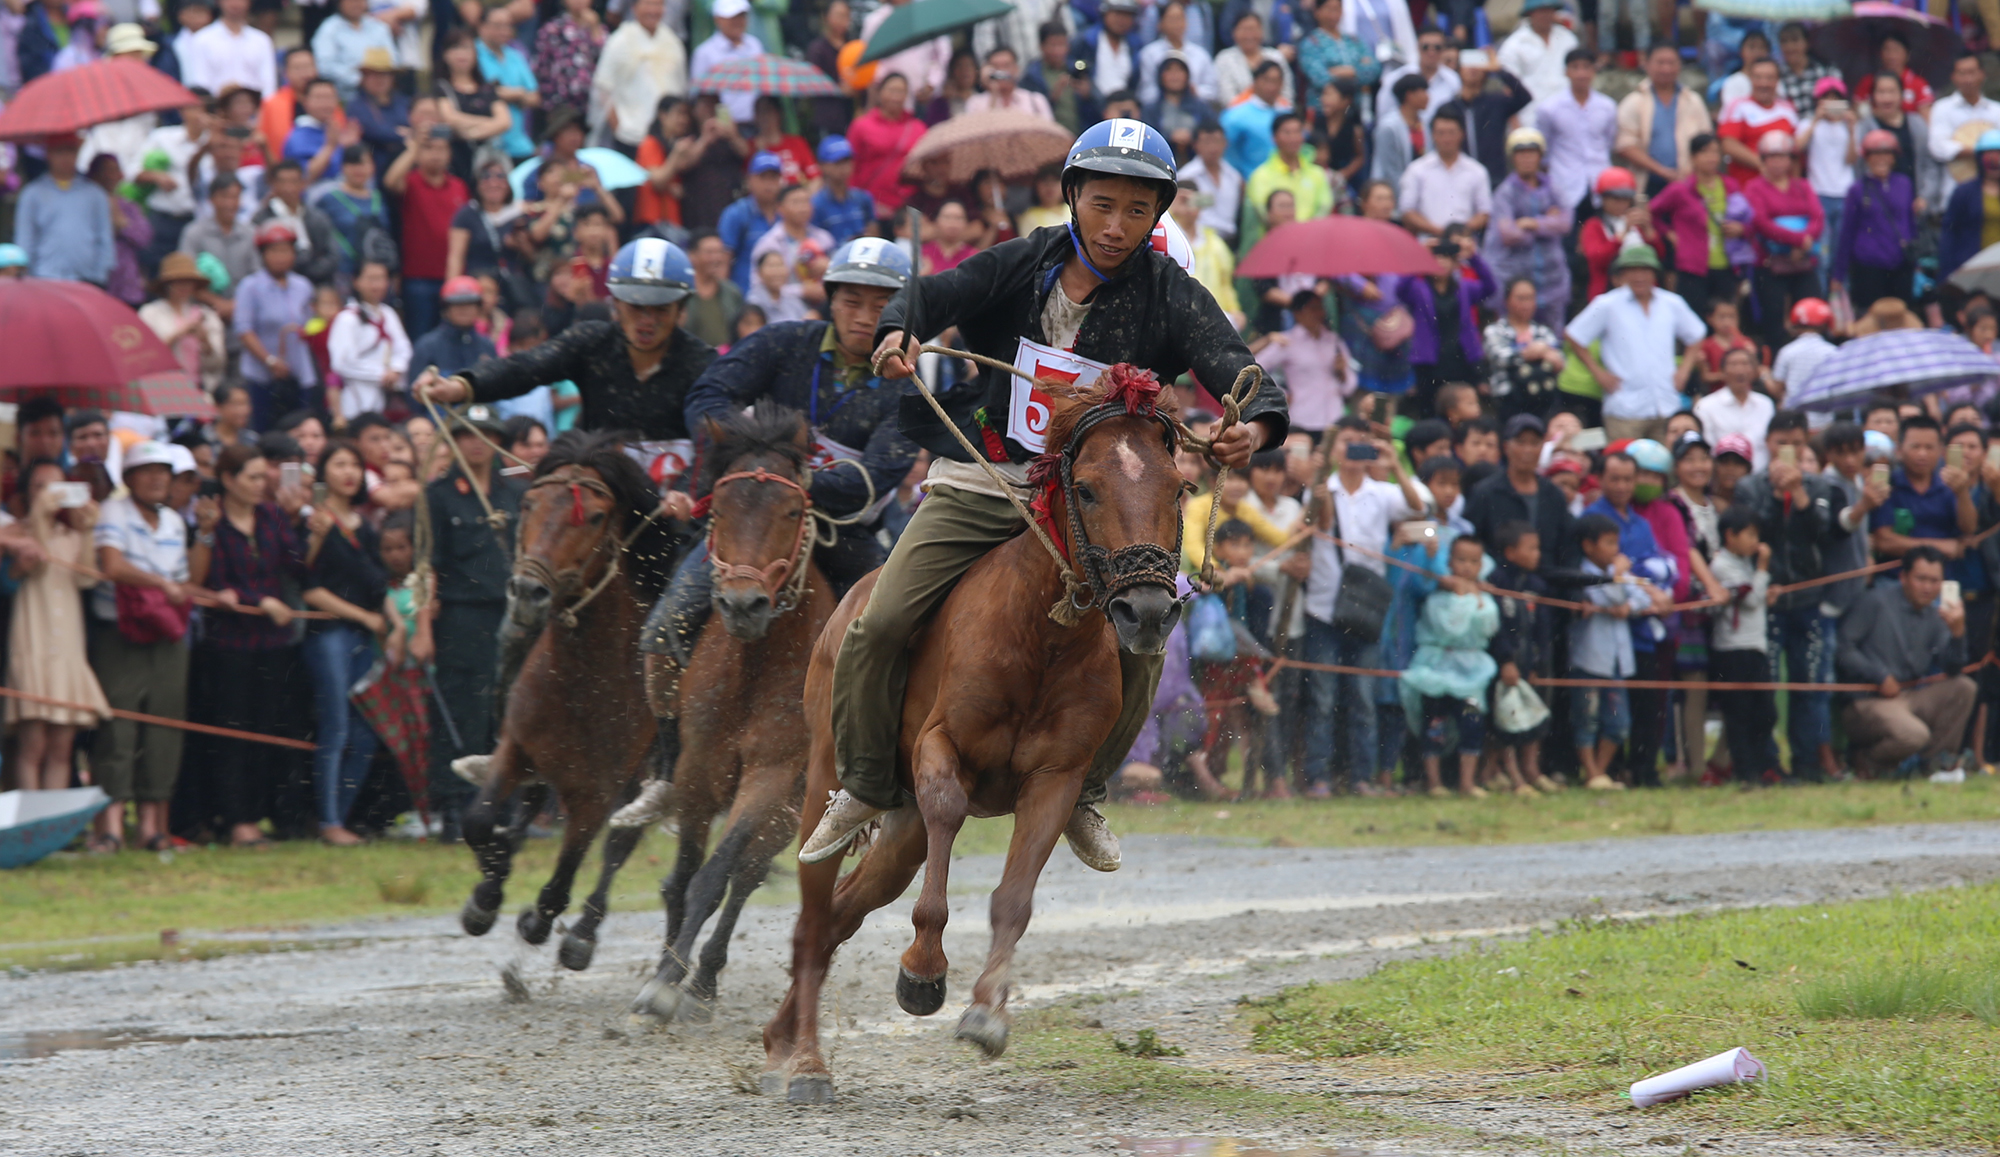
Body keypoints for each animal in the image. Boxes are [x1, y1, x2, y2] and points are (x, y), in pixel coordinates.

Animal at [454, 428, 672, 968]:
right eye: (529, 503)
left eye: (594, 516)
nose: (528, 591)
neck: (582, 676)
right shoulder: (517, 746)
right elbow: (479, 820)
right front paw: (486, 895)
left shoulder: (598, 791)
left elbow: (565, 877)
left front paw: (539, 921)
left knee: (621, 842)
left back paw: (583, 933)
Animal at [632, 402, 836, 1016]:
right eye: (718, 511)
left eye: (792, 510)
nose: (743, 604)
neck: (754, 665)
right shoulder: (696, 771)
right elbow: (682, 877)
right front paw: (662, 970)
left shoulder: (772, 777)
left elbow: (716, 875)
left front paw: (670, 979)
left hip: (797, 807)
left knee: (746, 874)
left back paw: (703, 977)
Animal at [756, 366, 1176, 1096]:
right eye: (1087, 487)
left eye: (1179, 488)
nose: (1146, 610)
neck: (1043, 638)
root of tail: (844, 604)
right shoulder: (941, 747)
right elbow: (949, 811)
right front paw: (923, 971)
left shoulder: (1056, 778)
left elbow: (1015, 897)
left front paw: (985, 1013)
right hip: (824, 778)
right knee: (814, 917)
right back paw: (806, 1062)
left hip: (900, 831)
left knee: (843, 910)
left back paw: (781, 1037)